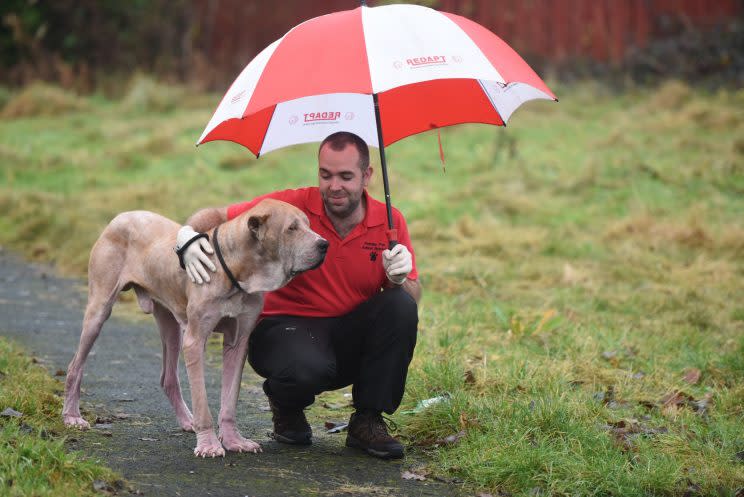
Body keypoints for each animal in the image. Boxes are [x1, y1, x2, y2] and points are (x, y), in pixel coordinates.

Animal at [62, 198, 330, 458]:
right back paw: (72, 416)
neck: (236, 269)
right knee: (75, 364)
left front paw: (233, 440)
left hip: (170, 324)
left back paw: (186, 420)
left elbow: (229, 400)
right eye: (291, 228)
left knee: (168, 377)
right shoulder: (195, 340)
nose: (324, 244)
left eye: (308, 224)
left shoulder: (238, 342)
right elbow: (202, 402)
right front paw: (209, 445)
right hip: (99, 310)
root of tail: (122, 216)